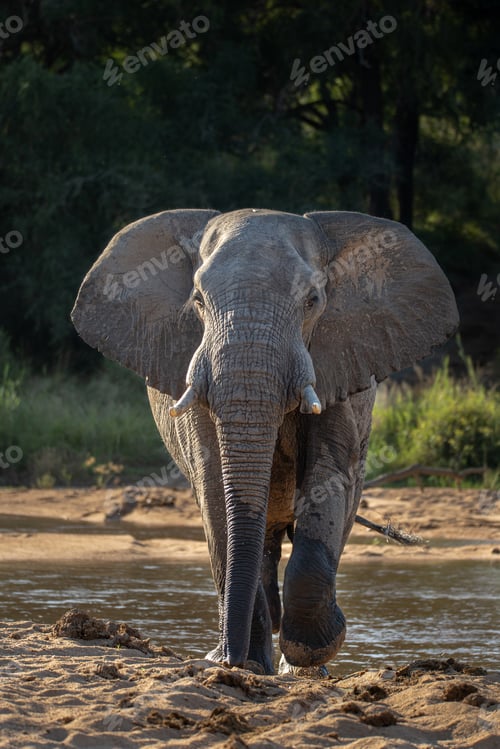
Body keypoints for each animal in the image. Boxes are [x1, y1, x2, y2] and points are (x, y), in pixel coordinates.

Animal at [71, 208, 458, 675]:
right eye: (198, 300)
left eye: (312, 301)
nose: (228, 661)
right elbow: (217, 491)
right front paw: (246, 664)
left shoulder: (339, 366)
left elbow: (328, 478)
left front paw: (312, 649)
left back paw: (302, 667)